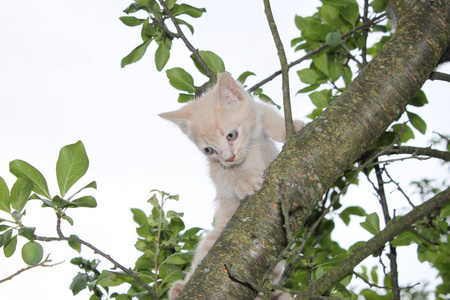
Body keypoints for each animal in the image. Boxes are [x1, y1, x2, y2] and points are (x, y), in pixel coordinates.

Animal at [158, 73, 302, 300]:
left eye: (231, 135)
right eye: (209, 150)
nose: (229, 157)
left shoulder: (258, 109)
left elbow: (270, 116)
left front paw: (293, 128)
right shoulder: (218, 170)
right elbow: (228, 178)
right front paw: (244, 181)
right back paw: (179, 288)